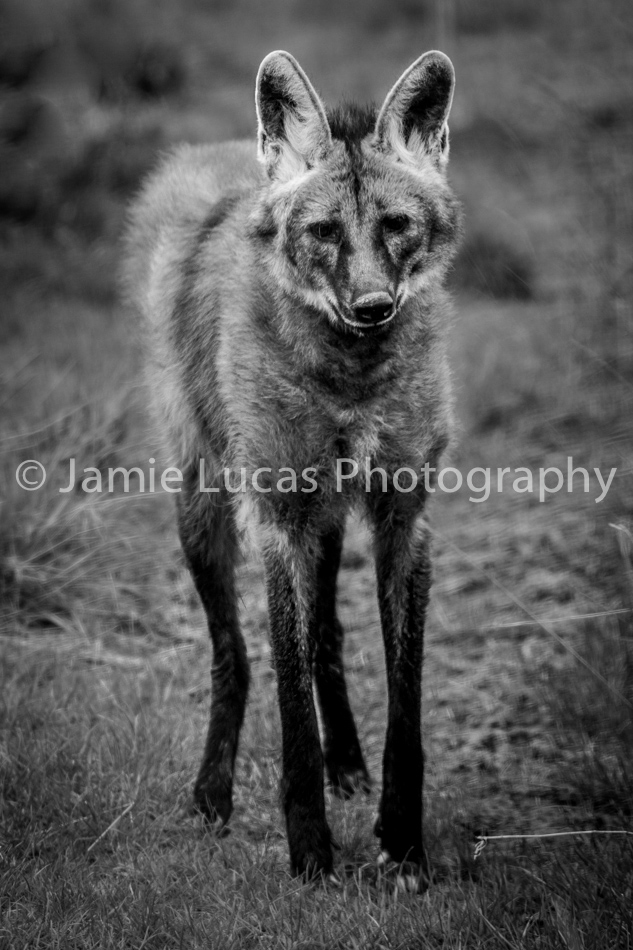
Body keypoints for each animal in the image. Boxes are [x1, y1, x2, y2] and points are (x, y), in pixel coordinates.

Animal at [125, 49, 461, 888]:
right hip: (206, 500)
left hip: (327, 512)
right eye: (323, 232)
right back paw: (212, 789)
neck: (351, 379)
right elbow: (285, 687)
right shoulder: (277, 516)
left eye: (396, 226)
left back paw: (347, 761)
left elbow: (402, 703)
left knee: (326, 635)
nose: (372, 306)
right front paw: (309, 849)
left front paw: (401, 842)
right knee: (234, 653)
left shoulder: (401, 515)